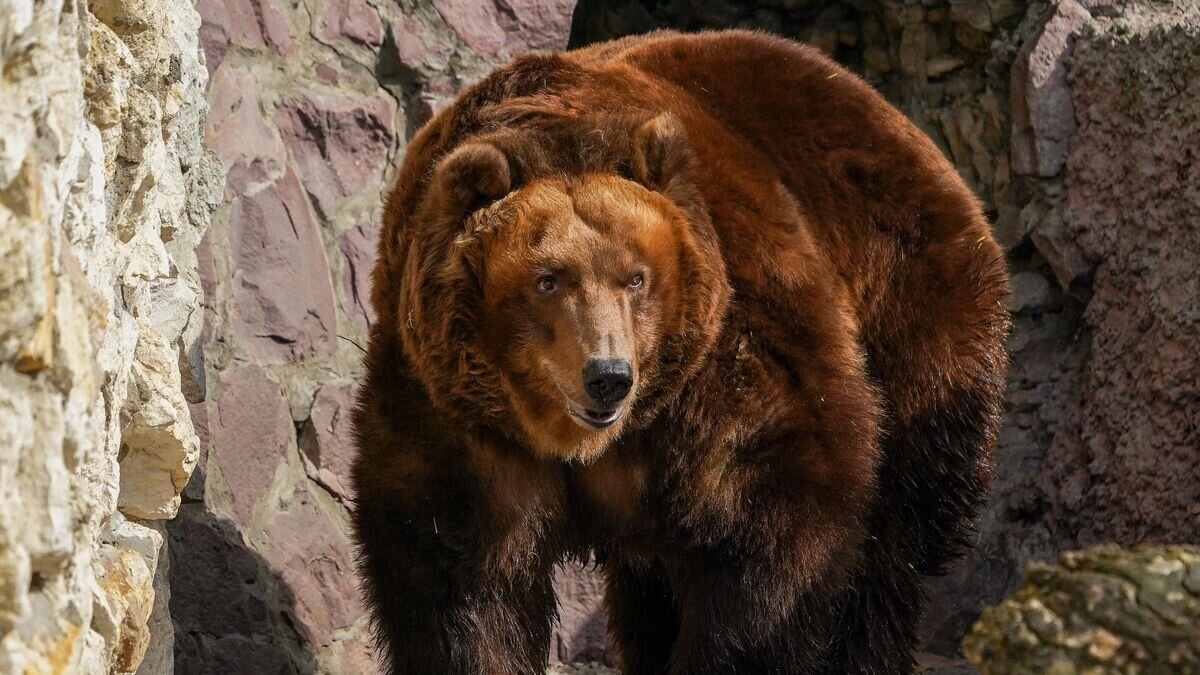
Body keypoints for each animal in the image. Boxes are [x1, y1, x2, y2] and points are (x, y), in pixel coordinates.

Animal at [350, 28, 1008, 672]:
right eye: (547, 280)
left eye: (635, 278)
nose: (608, 376)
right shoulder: (456, 412)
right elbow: (459, 578)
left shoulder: (725, 361)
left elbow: (767, 533)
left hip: (912, 316)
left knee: (891, 543)